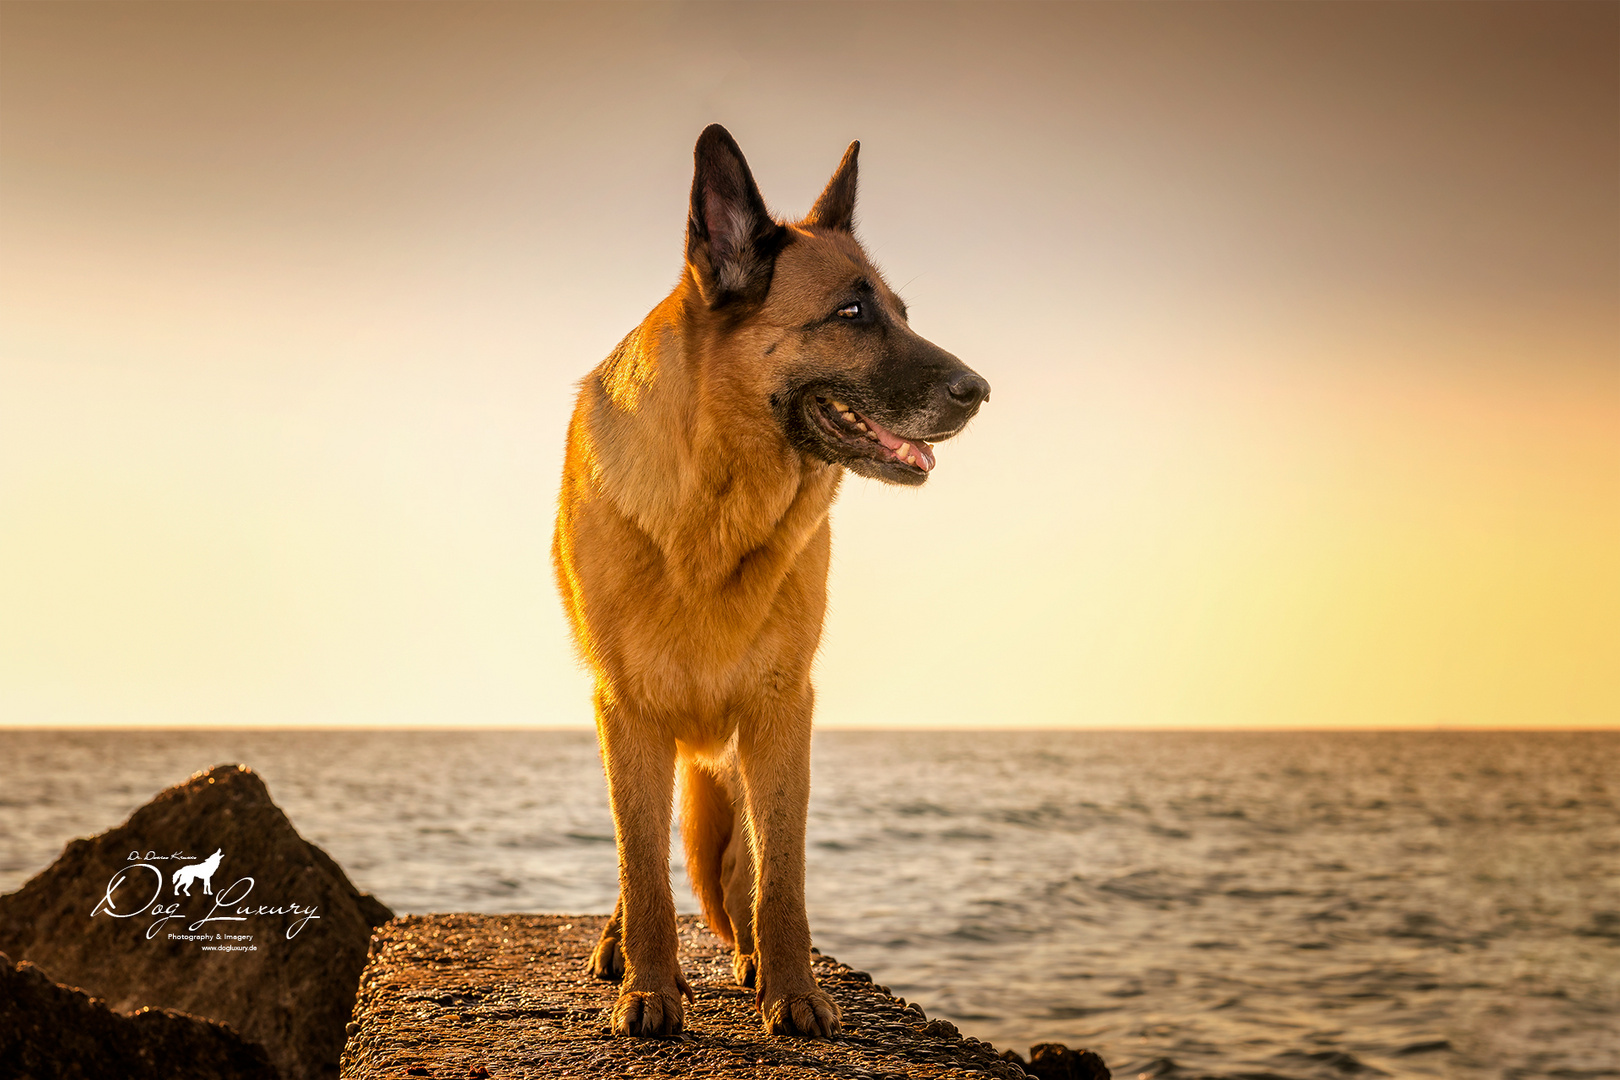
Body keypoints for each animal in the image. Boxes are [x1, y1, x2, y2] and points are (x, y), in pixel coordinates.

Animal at [554, 120, 984, 1036]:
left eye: (902, 313)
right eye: (852, 313)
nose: (981, 391)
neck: (716, 514)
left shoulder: (784, 707)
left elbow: (781, 872)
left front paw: (792, 990)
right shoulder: (627, 710)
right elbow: (641, 867)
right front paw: (650, 987)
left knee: (748, 859)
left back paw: (750, 955)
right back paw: (622, 949)